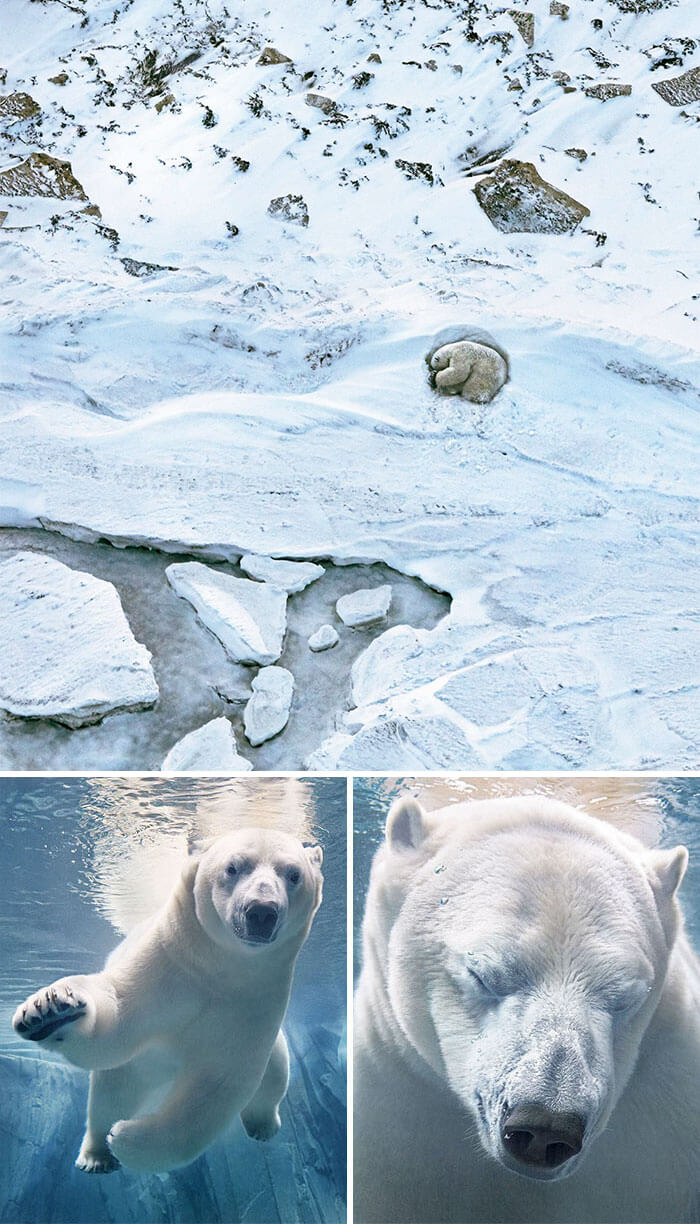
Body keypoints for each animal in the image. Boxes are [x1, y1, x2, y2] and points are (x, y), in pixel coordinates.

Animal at [13, 827, 325, 1170]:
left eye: (293, 874)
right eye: (233, 867)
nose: (261, 911)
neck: (218, 967)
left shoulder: (255, 1001)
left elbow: (215, 1088)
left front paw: (126, 1138)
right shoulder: (166, 962)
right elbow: (117, 1021)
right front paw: (50, 1011)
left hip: (275, 1044)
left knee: (275, 1075)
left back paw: (263, 1126)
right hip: (135, 1072)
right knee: (109, 1096)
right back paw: (95, 1156)